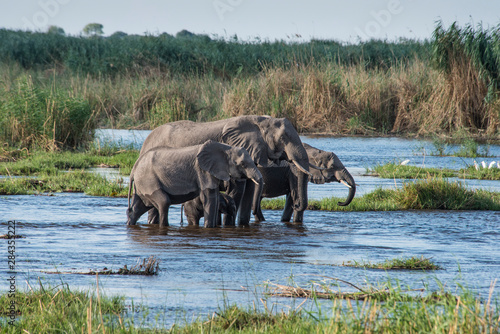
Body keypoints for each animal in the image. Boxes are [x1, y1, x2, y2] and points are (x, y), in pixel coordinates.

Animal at [127, 140, 264, 228]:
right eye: (242, 164)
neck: (226, 148)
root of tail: (134, 168)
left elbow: (214, 198)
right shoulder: (203, 171)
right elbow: (210, 198)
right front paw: (209, 228)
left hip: (143, 184)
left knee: (140, 207)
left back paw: (130, 223)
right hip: (148, 180)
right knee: (163, 202)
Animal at [139, 113, 314, 226]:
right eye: (283, 138)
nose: (296, 204)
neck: (260, 120)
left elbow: (249, 190)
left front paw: (242, 225)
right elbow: (237, 190)